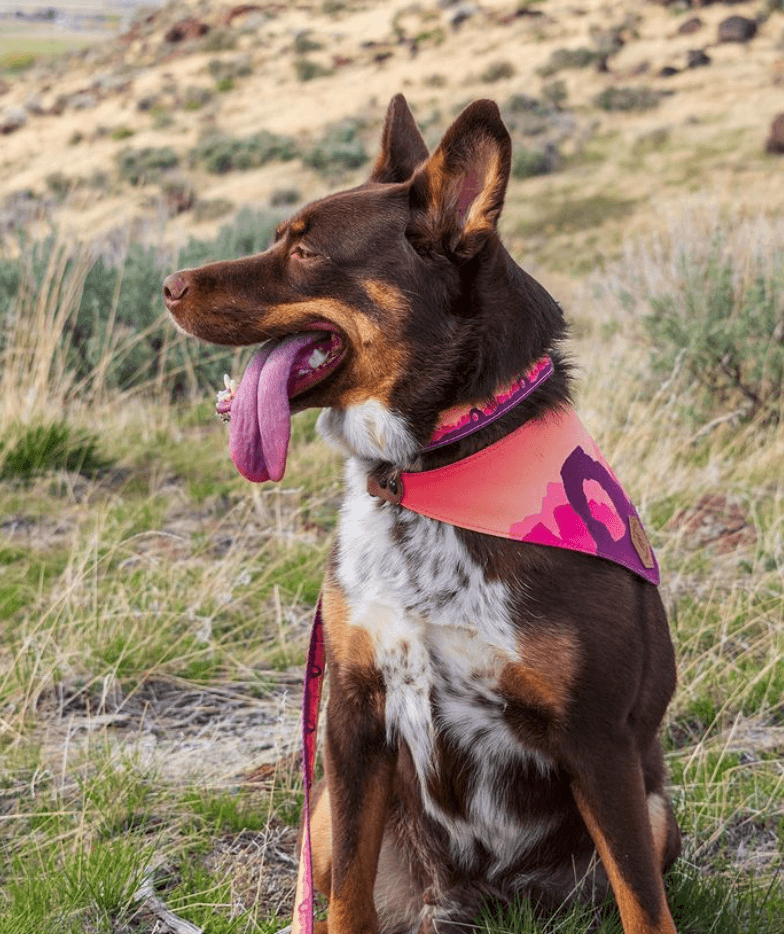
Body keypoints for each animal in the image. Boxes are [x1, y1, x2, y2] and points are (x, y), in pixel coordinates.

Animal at [165, 97, 680, 934]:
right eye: (280, 235)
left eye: (305, 250)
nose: (168, 285)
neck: (428, 475)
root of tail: (481, 899)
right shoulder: (351, 721)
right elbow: (346, 901)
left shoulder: (601, 743)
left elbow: (644, 906)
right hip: (322, 812)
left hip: (658, 808)